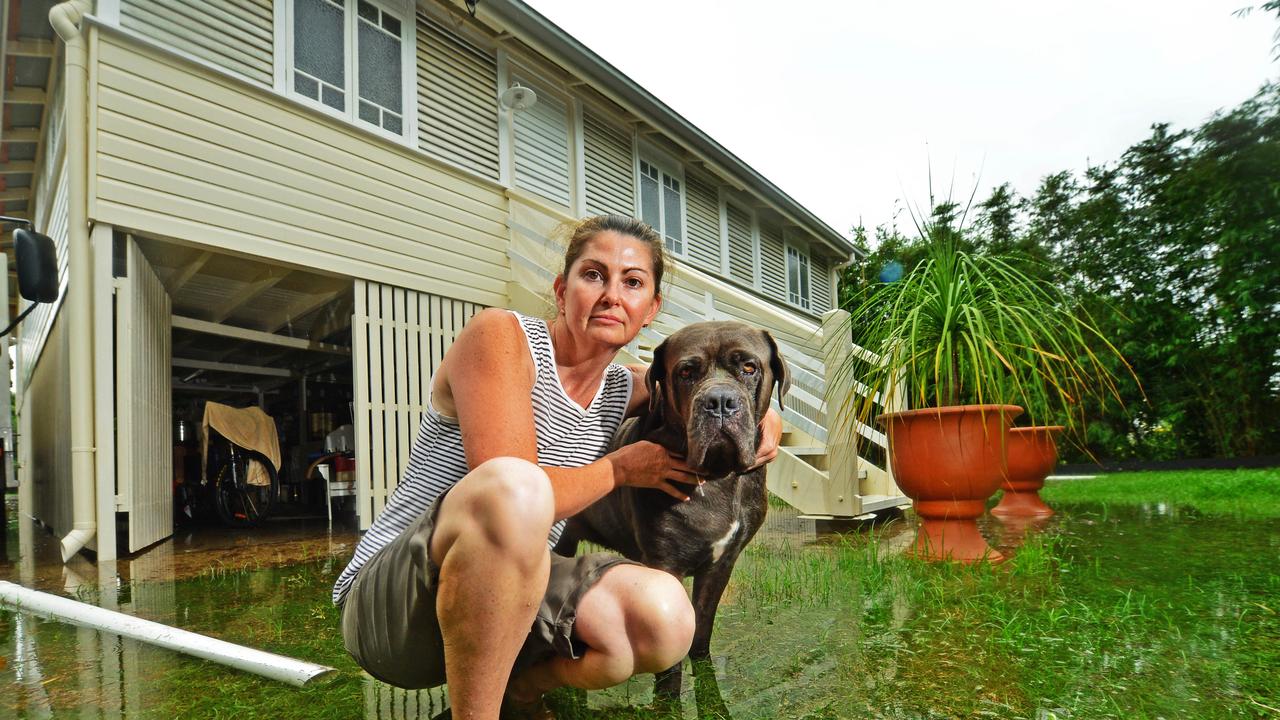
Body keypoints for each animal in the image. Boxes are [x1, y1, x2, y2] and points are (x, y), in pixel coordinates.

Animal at [560, 319, 788, 696]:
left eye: (749, 367)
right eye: (685, 372)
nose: (720, 401)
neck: (717, 478)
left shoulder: (721, 565)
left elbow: (701, 631)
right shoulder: (666, 565)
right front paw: (667, 694)